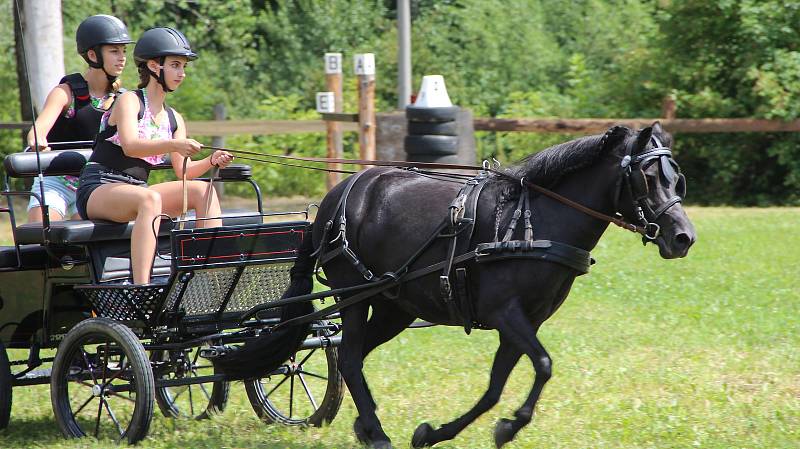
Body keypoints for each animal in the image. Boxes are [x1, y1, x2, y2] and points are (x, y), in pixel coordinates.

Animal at [276, 121, 692, 444]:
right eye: (648, 179)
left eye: (678, 180)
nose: (684, 238)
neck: (533, 223)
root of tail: (335, 198)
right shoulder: (505, 312)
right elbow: (543, 364)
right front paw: (508, 427)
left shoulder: (525, 321)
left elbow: (495, 388)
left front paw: (436, 433)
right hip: (356, 295)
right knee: (348, 357)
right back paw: (377, 434)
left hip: (393, 306)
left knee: (355, 357)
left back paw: (366, 425)